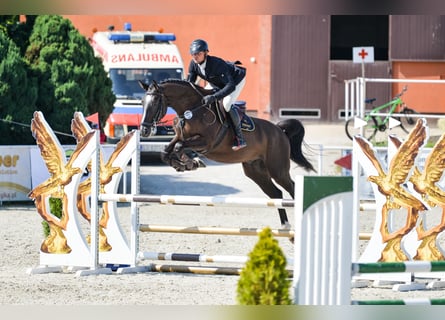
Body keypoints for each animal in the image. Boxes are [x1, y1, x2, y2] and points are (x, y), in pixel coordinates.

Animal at [139, 79, 316, 231]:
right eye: (142, 102)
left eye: (155, 102)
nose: (144, 131)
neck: (191, 110)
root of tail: (279, 130)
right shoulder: (180, 136)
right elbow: (166, 151)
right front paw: (185, 164)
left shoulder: (206, 142)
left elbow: (179, 147)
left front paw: (191, 163)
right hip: (255, 171)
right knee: (276, 193)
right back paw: (285, 225)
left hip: (277, 169)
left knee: (292, 188)